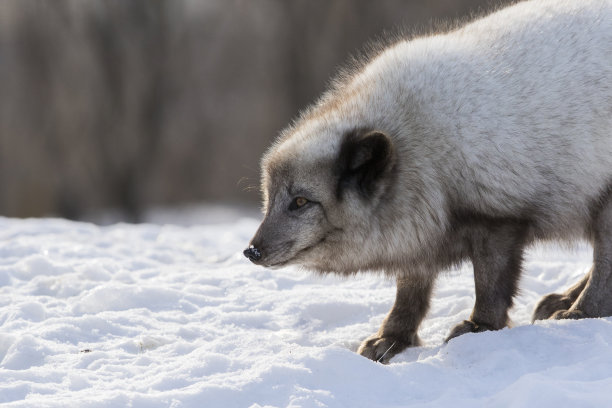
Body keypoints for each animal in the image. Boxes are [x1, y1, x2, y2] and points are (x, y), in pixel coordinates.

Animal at [244, 0, 612, 364]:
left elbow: (490, 284)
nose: (252, 251)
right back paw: (564, 300)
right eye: (269, 199)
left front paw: (480, 327)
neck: (417, 140)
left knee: (603, 268)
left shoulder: (497, 217)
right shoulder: (418, 224)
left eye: (301, 202)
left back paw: (578, 311)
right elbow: (410, 290)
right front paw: (391, 338)